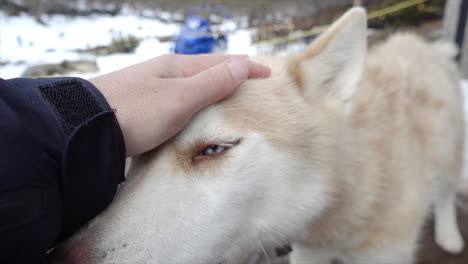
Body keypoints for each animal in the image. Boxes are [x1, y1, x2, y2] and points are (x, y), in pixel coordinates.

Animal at [52, 8, 464, 264]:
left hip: (449, 153)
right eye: (141, 154)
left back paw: (449, 232)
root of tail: (422, 44)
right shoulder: (310, 252)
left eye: (214, 148)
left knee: (445, 190)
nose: (59, 257)